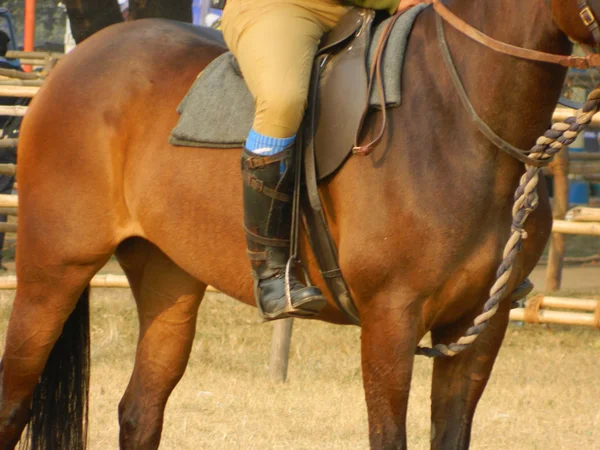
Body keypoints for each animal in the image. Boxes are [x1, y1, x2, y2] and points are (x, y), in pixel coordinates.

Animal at [0, 0, 592, 450]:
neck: (458, 120)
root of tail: (73, 64)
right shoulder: (390, 322)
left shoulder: (478, 329)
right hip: (53, 274)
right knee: (14, 405)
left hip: (169, 280)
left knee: (140, 412)